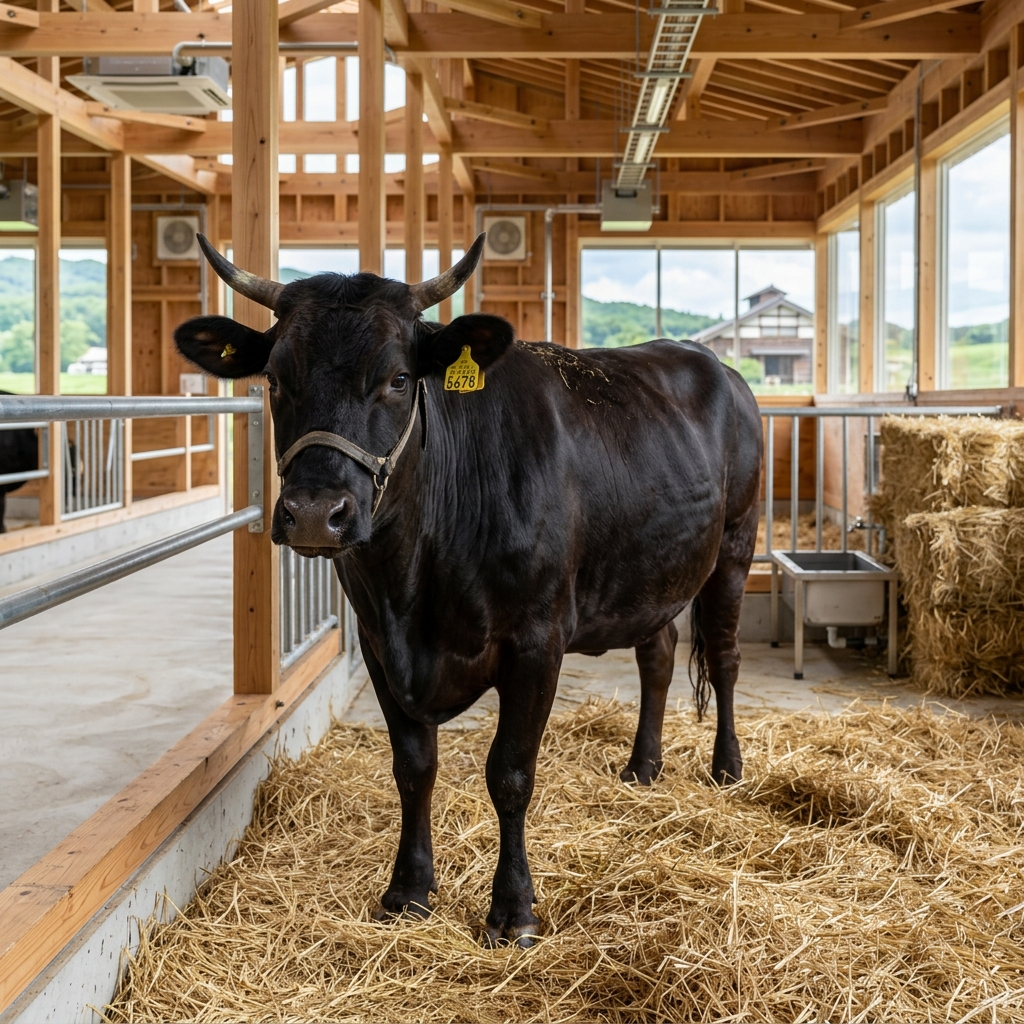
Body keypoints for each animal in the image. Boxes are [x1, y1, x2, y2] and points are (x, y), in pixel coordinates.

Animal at [174, 234, 763, 947]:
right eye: (275, 378)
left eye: (399, 379)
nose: (315, 513)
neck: (413, 590)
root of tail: (710, 361)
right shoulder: (379, 644)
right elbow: (413, 768)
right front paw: (408, 889)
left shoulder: (536, 641)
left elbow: (509, 773)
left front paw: (512, 910)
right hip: (651, 570)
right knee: (658, 654)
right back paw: (642, 768)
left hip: (735, 544)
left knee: (725, 658)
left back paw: (727, 769)